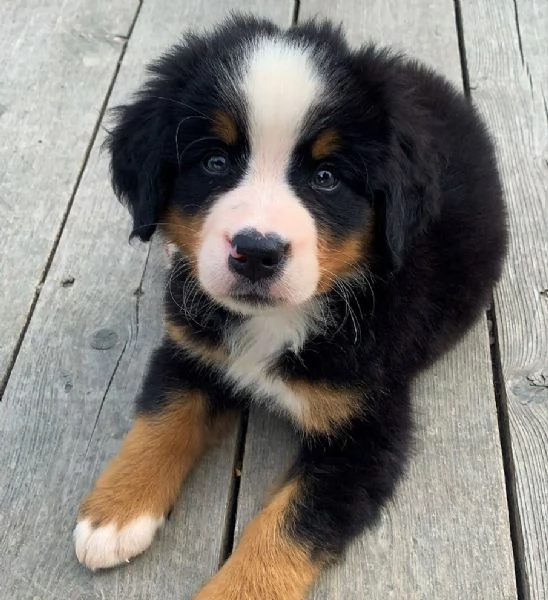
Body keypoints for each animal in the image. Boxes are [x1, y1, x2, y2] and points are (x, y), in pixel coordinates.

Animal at [75, 14, 508, 600]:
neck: (276, 321)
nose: (257, 252)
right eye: (214, 162)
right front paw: (114, 514)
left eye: (326, 177)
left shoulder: (367, 430)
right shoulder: (192, 347)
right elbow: (160, 417)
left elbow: (290, 527)